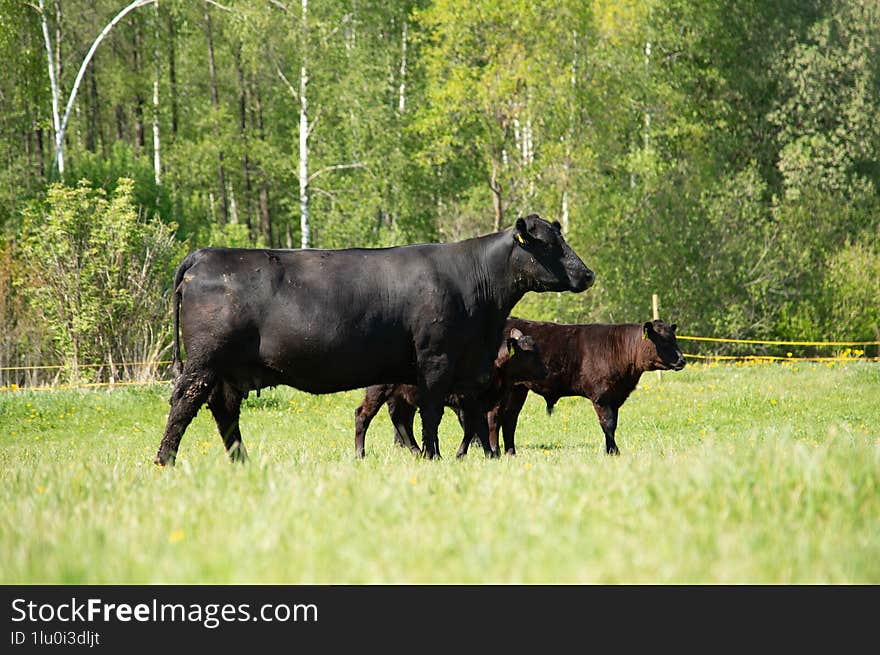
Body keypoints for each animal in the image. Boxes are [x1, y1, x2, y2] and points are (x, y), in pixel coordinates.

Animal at [350, 326, 544, 456]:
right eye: (528, 353)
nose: (546, 371)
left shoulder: (471, 405)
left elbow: (471, 429)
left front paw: (463, 454)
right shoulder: (471, 401)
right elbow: (478, 428)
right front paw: (488, 454)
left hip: (401, 397)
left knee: (401, 420)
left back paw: (417, 451)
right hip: (378, 391)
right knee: (363, 414)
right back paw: (360, 453)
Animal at [454, 318, 688, 456]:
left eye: (674, 338)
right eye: (664, 341)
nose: (682, 360)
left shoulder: (615, 397)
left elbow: (613, 424)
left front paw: (612, 450)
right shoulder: (601, 396)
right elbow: (608, 424)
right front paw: (612, 451)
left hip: (518, 389)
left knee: (510, 419)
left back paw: (511, 452)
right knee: (494, 418)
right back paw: (496, 451)